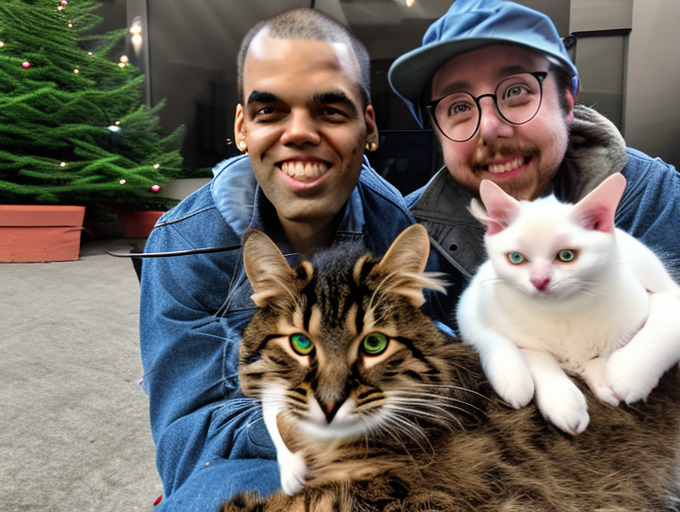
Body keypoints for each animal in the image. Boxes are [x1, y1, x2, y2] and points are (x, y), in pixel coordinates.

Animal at [456, 174, 680, 434]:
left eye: (566, 255)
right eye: (516, 258)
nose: (539, 280)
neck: (561, 313)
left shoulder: (661, 297)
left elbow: (663, 327)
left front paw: (628, 373)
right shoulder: (470, 307)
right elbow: (523, 351)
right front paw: (559, 398)